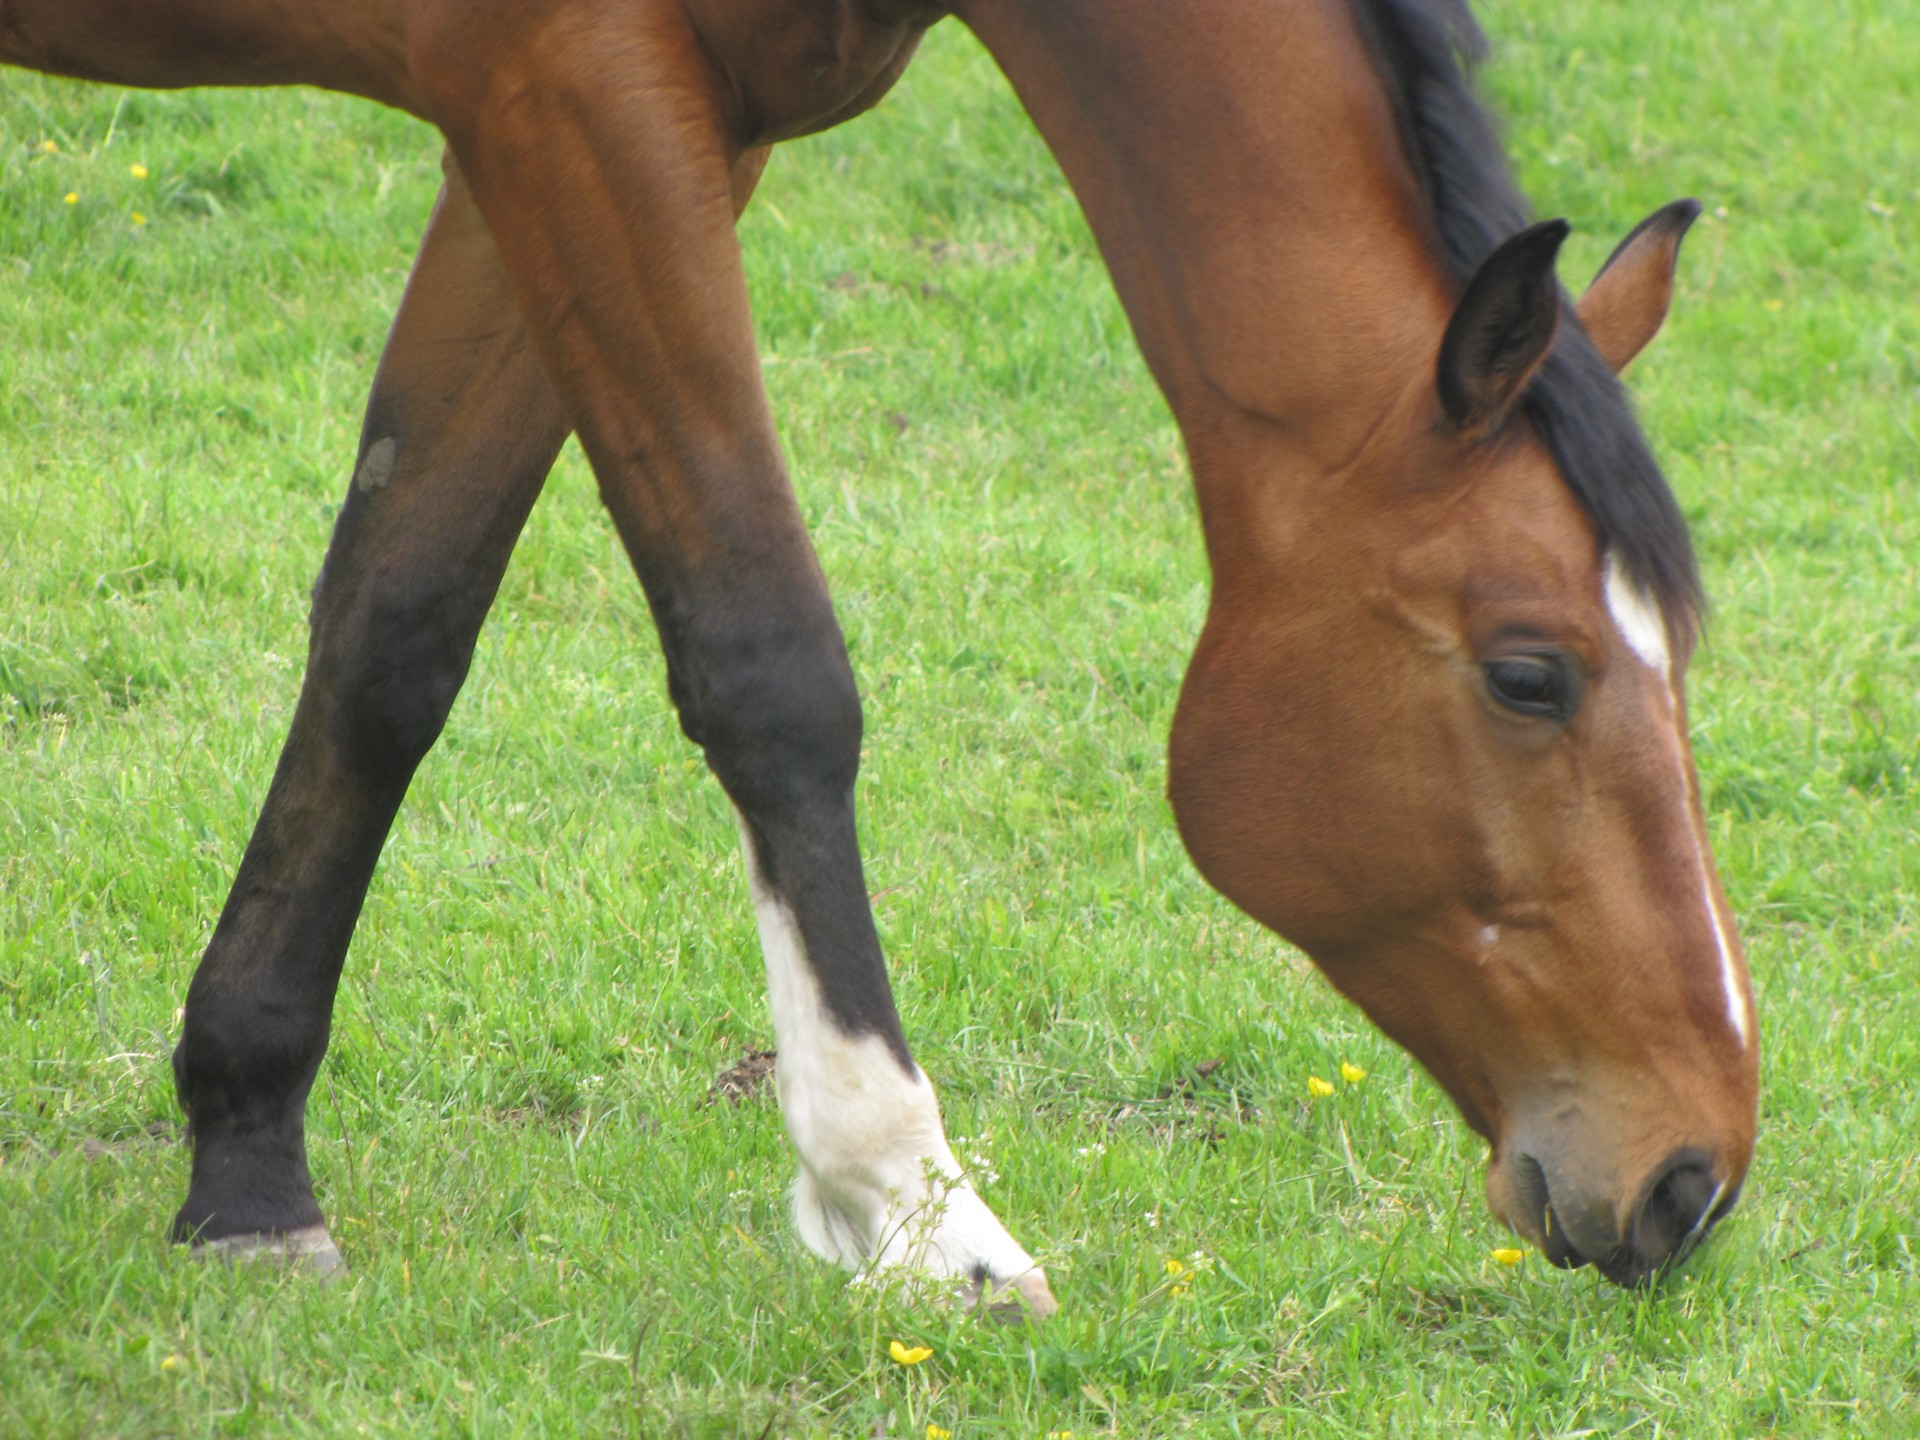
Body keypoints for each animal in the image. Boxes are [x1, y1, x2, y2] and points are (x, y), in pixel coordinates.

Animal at [3, 0, 1758, 1305]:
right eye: (1529, 674)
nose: (1693, 1174)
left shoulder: (566, 125)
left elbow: (396, 626)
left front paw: (247, 1160)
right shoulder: (579, 95)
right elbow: (768, 660)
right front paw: (913, 1201)